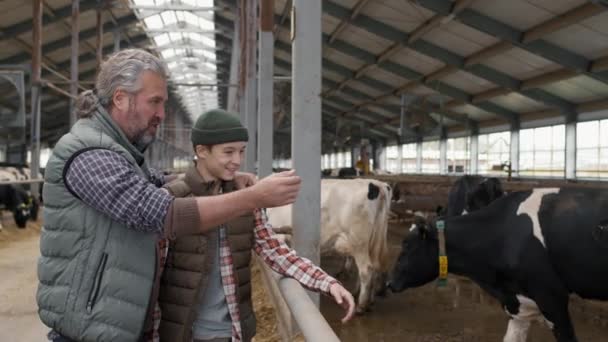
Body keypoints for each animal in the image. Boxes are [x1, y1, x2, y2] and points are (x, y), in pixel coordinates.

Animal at [268, 178, 392, 314]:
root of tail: (377, 184)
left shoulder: (279, 234)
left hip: (358, 241)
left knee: (366, 270)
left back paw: (361, 305)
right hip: (373, 242)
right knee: (374, 267)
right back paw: (365, 298)